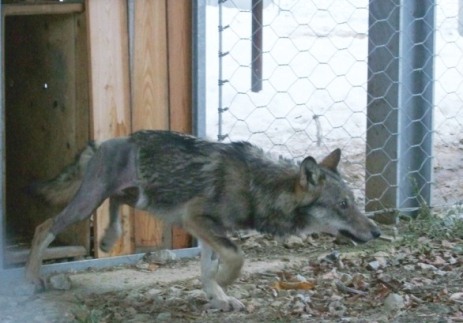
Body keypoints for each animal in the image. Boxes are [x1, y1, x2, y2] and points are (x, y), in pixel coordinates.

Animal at [25, 130, 380, 312]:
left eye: (354, 203)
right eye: (343, 205)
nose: (377, 231)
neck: (258, 185)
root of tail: (105, 140)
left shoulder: (210, 229)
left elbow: (211, 266)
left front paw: (218, 296)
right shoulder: (195, 220)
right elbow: (235, 257)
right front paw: (221, 286)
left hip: (135, 197)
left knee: (115, 204)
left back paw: (110, 237)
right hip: (88, 203)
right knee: (43, 227)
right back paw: (33, 277)